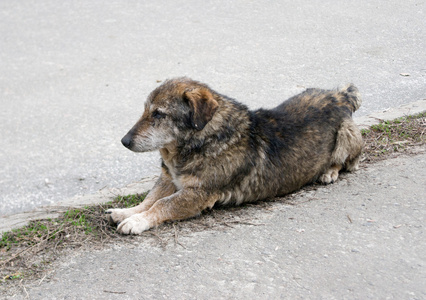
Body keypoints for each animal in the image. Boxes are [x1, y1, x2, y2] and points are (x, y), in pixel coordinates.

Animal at [106, 78, 362, 236]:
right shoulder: (169, 179)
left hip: (348, 134)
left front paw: (138, 221)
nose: (124, 141)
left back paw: (329, 172)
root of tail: (340, 94)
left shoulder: (198, 194)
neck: (202, 140)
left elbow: (162, 204)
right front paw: (127, 212)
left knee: (349, 162)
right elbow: (150, 199)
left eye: (159, 114)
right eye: (145, 110)